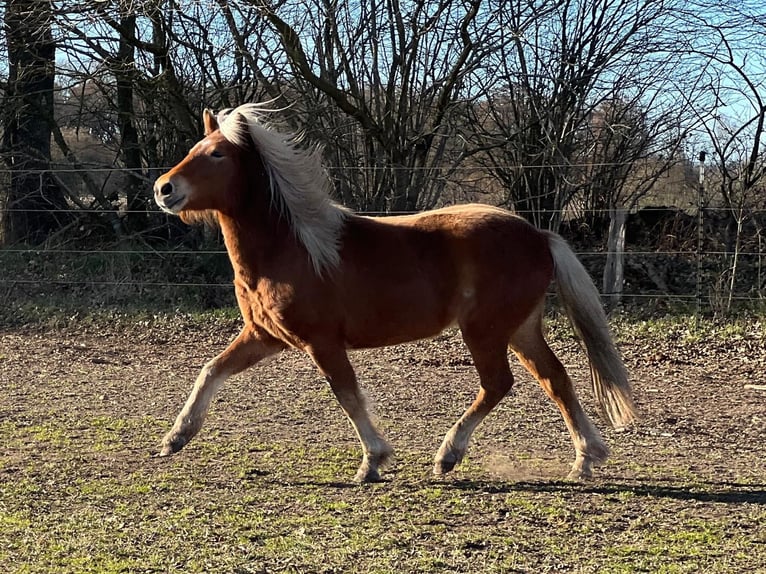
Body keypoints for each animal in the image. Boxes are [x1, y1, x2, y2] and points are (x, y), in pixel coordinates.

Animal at [153, 103, 637, 483]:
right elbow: (211, 370)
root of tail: (538, 234)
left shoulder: (322, 342)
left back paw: (448, 455)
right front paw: (175, 438)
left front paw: (373, 461)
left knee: (498, 384)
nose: (163, 189)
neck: (294, 248)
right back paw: (585, 459)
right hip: (520, 328)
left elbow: (347, 395)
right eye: (193, 149)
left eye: (216, 153)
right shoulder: (265, 336)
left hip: (485, 330)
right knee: (555, 378)